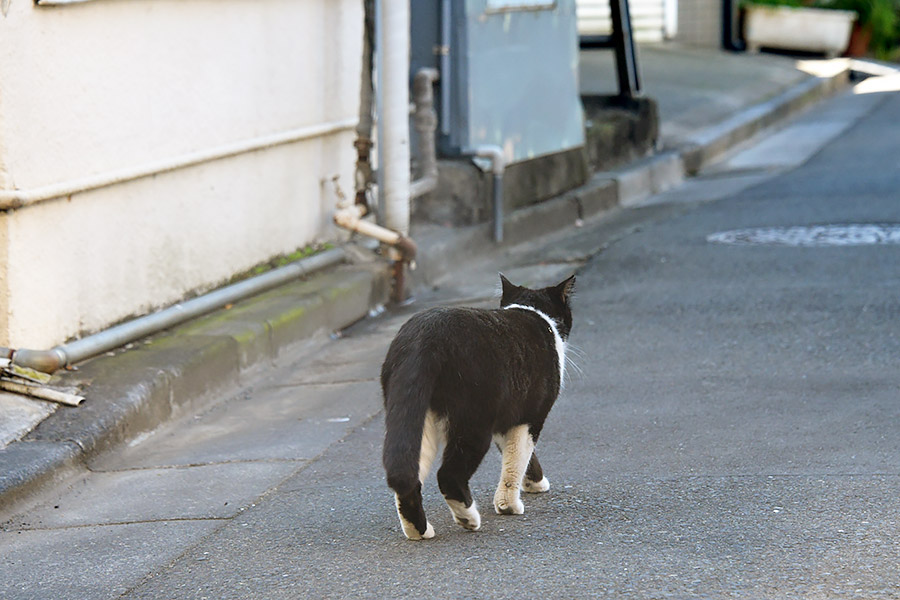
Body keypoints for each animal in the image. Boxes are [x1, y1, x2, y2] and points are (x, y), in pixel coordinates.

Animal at [380, 274, 576, 540]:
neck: (532, 310)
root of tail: (422, 339)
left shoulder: (507, 416)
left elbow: (515, 454)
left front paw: (532, 484)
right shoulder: (530, 416)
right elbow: (517, 457)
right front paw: (509, 505)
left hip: (415, 416)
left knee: (406, 473)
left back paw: (419, 530)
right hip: (473, 420)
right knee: (449, 475)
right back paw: (468, 518)